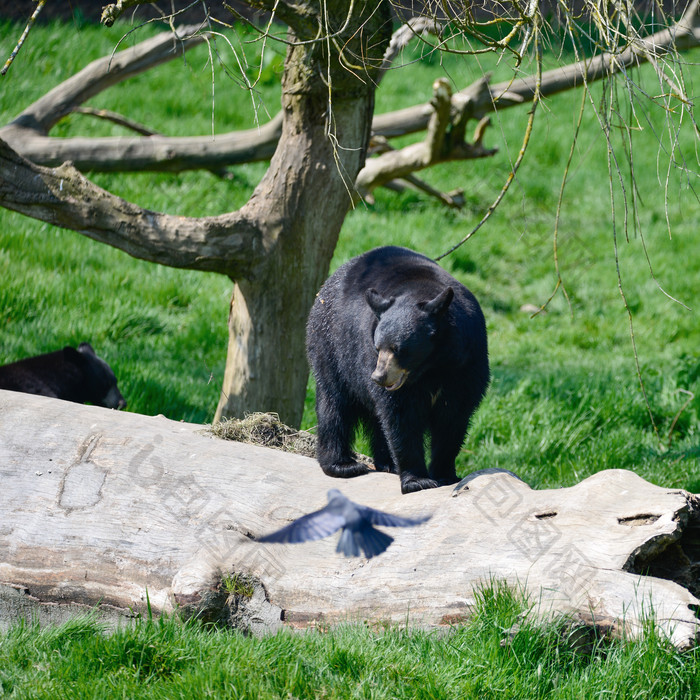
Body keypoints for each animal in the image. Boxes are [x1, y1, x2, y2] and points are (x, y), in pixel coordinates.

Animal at [308, 249, 490, 494]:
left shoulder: (466, 365)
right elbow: (401, 418)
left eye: (399, 349)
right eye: (377, 347)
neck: (432, 367)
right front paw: (418, 480)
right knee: (335, 405)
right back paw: (343, 465)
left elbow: (453, 418)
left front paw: (446, 475)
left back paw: (387, 463)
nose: (378, 377)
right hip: (331, 346)